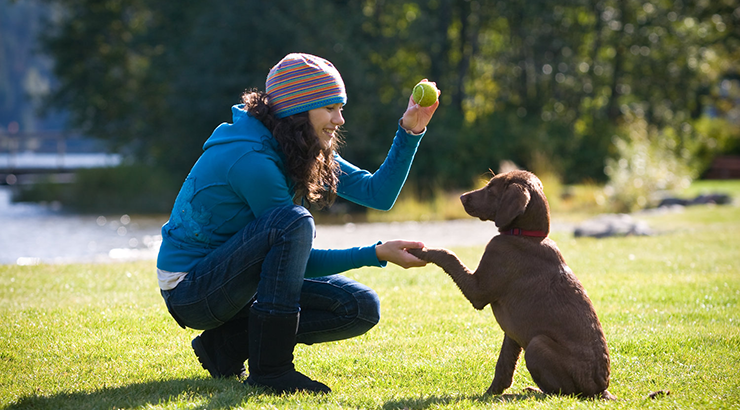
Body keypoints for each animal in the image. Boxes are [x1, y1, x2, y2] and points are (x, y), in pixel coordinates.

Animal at [408, 171, 616, 400]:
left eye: (491, 188)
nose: (461, 197)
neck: (525, 235)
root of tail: (600, 390)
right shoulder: (512, 333)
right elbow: (504, 365)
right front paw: (491, 393)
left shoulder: (478, 291)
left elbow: (448, 255)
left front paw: (420, 250)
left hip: (537, 345)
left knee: (562, 393)